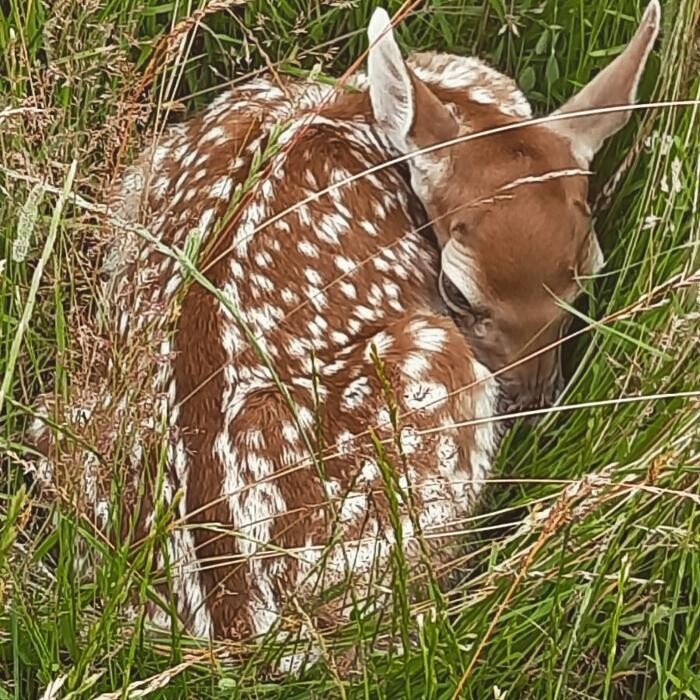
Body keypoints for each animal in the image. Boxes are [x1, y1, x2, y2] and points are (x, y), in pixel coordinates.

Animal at [27, 0, 660, 676]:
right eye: (457, 290)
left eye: (587, 279)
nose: (534, 401)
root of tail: (240, 632)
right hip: (428, 373)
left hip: (56, 416)